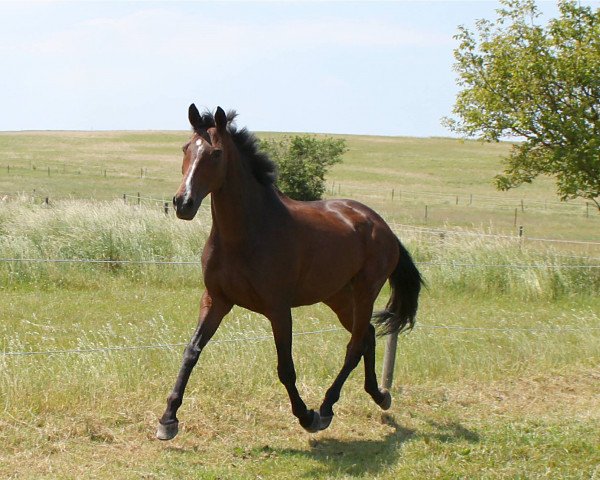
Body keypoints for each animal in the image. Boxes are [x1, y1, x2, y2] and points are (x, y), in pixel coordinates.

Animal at [157, 104, 424, 438]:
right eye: (186, 148)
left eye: (216, 153)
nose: (183, 203)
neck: (245, 234)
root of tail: (381, 225)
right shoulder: (216, 300)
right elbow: (191, 351)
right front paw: (168, 419)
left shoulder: (278, 309)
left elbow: (285, 368)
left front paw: (306, 415)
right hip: (338, 297)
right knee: (368, 336)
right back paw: (379, 395)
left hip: (366, 291)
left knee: (354, 346)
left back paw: (326, 408)